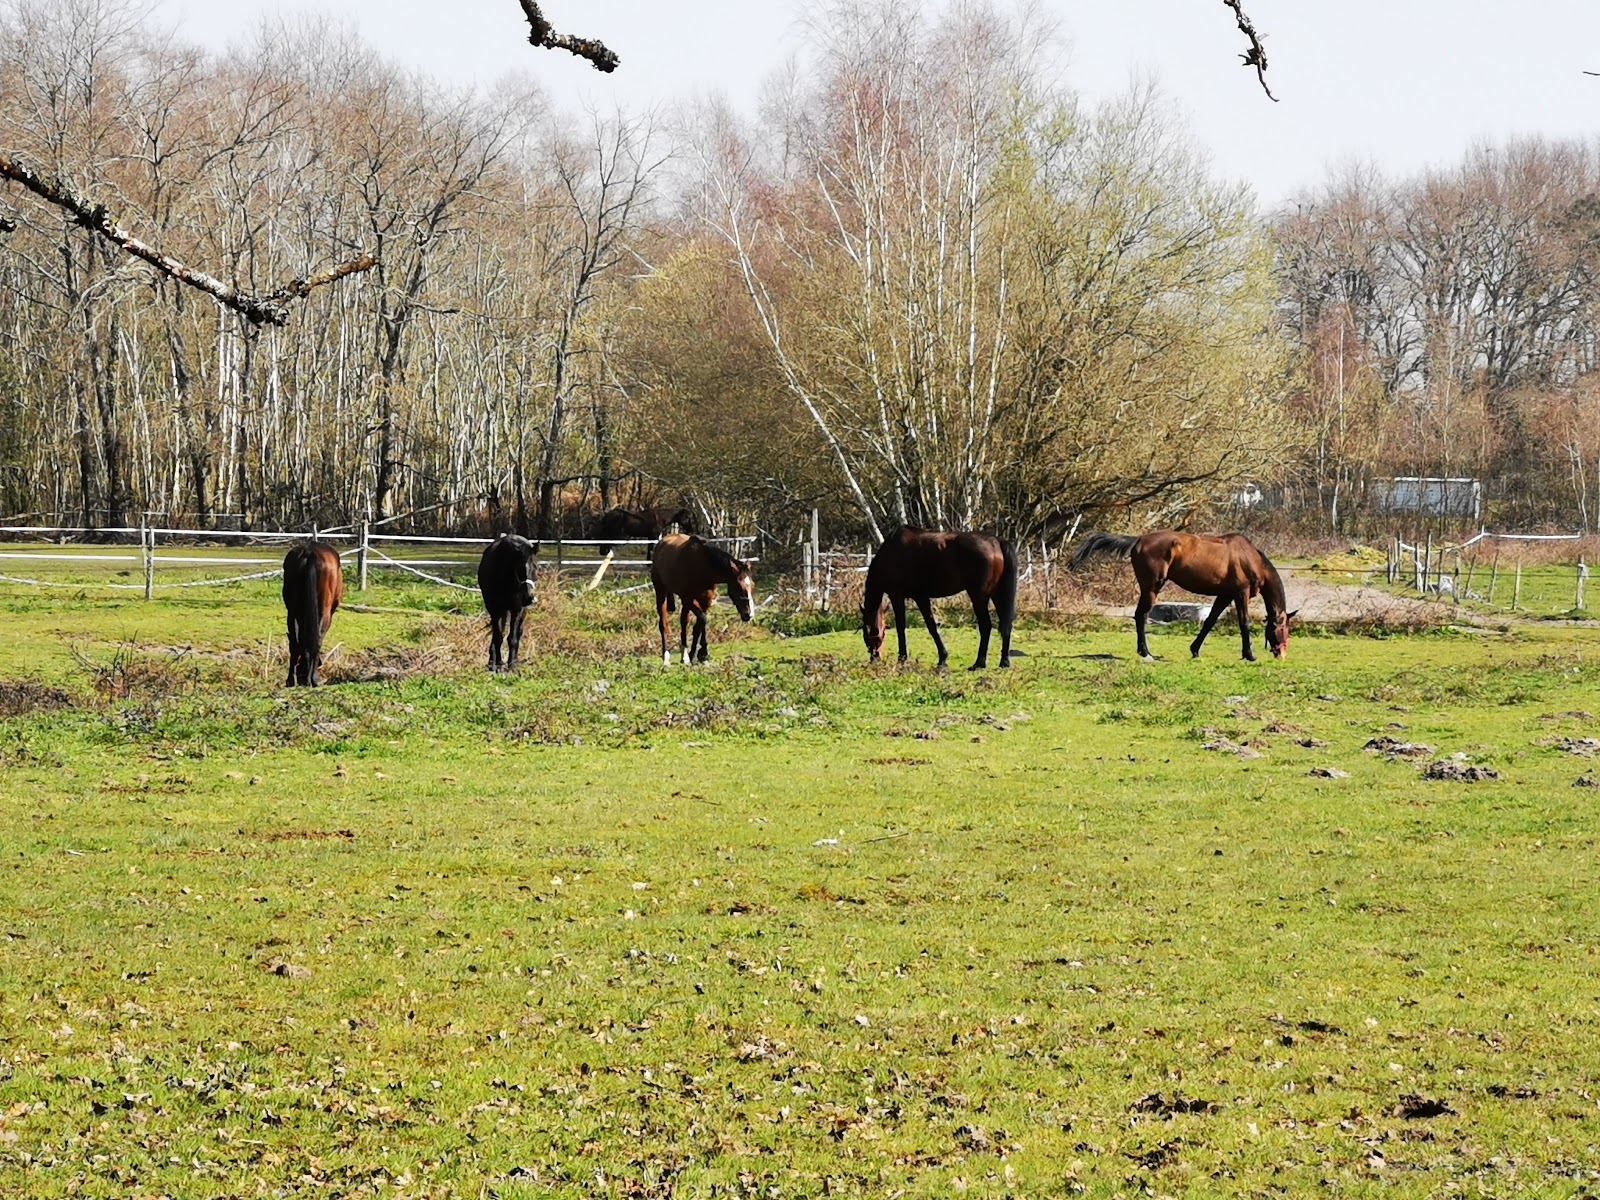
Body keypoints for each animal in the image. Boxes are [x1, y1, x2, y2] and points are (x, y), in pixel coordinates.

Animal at [281, 544, 344, 691]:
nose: (301, 674)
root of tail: (309, 552)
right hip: (325, 611)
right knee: (318, 640)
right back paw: (313, 679)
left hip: (292, 611)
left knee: (294, 643)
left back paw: (291, 679)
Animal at [476, 537, 540, 678]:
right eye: (519, 568)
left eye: (535, 566)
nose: (529, 597)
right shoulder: (495, 609)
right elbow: (498, 637)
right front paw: (498, 666)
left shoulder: (517, 609)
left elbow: (513, 638)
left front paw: (512, 666)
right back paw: (492, 662)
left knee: (517, 633)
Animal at [649, 534, 755, 668]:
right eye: (738, 587)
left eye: (753, 586)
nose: (749, 614)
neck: (703, 566)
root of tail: (661, 542)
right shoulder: (688, 599)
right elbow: (703, 619)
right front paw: (703, 653)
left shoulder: (706, 600)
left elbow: (699, 626)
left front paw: (695, 655)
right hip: (661, 591)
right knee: (663, 624)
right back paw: (666, 657)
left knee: (684, 622)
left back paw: (684, 655)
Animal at [864, 528, 1011, 672]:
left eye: (870, 636)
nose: (874, 659)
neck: (890, 552)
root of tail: (996, 541)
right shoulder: (921, 597)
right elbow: (932, 627)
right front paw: (942, 659)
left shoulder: (897, 595)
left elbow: (901, 627)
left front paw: (902, 659)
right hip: (997, 594)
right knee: (1005, 626)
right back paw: (1004, 662)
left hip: (979, 597)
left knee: (986, 626)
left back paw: (979, 664)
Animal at [1068, 531, 1292, 662]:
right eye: (1283, 630)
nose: (1281, 654)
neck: (1251, 558)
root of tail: (1138, 540)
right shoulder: (1240, 593)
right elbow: (1244, 623)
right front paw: (1249, 655)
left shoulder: (1224, 595)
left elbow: (1209, 622)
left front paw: (1195, 650)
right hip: (1152, 588)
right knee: (1141, 616)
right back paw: (1146, 653)